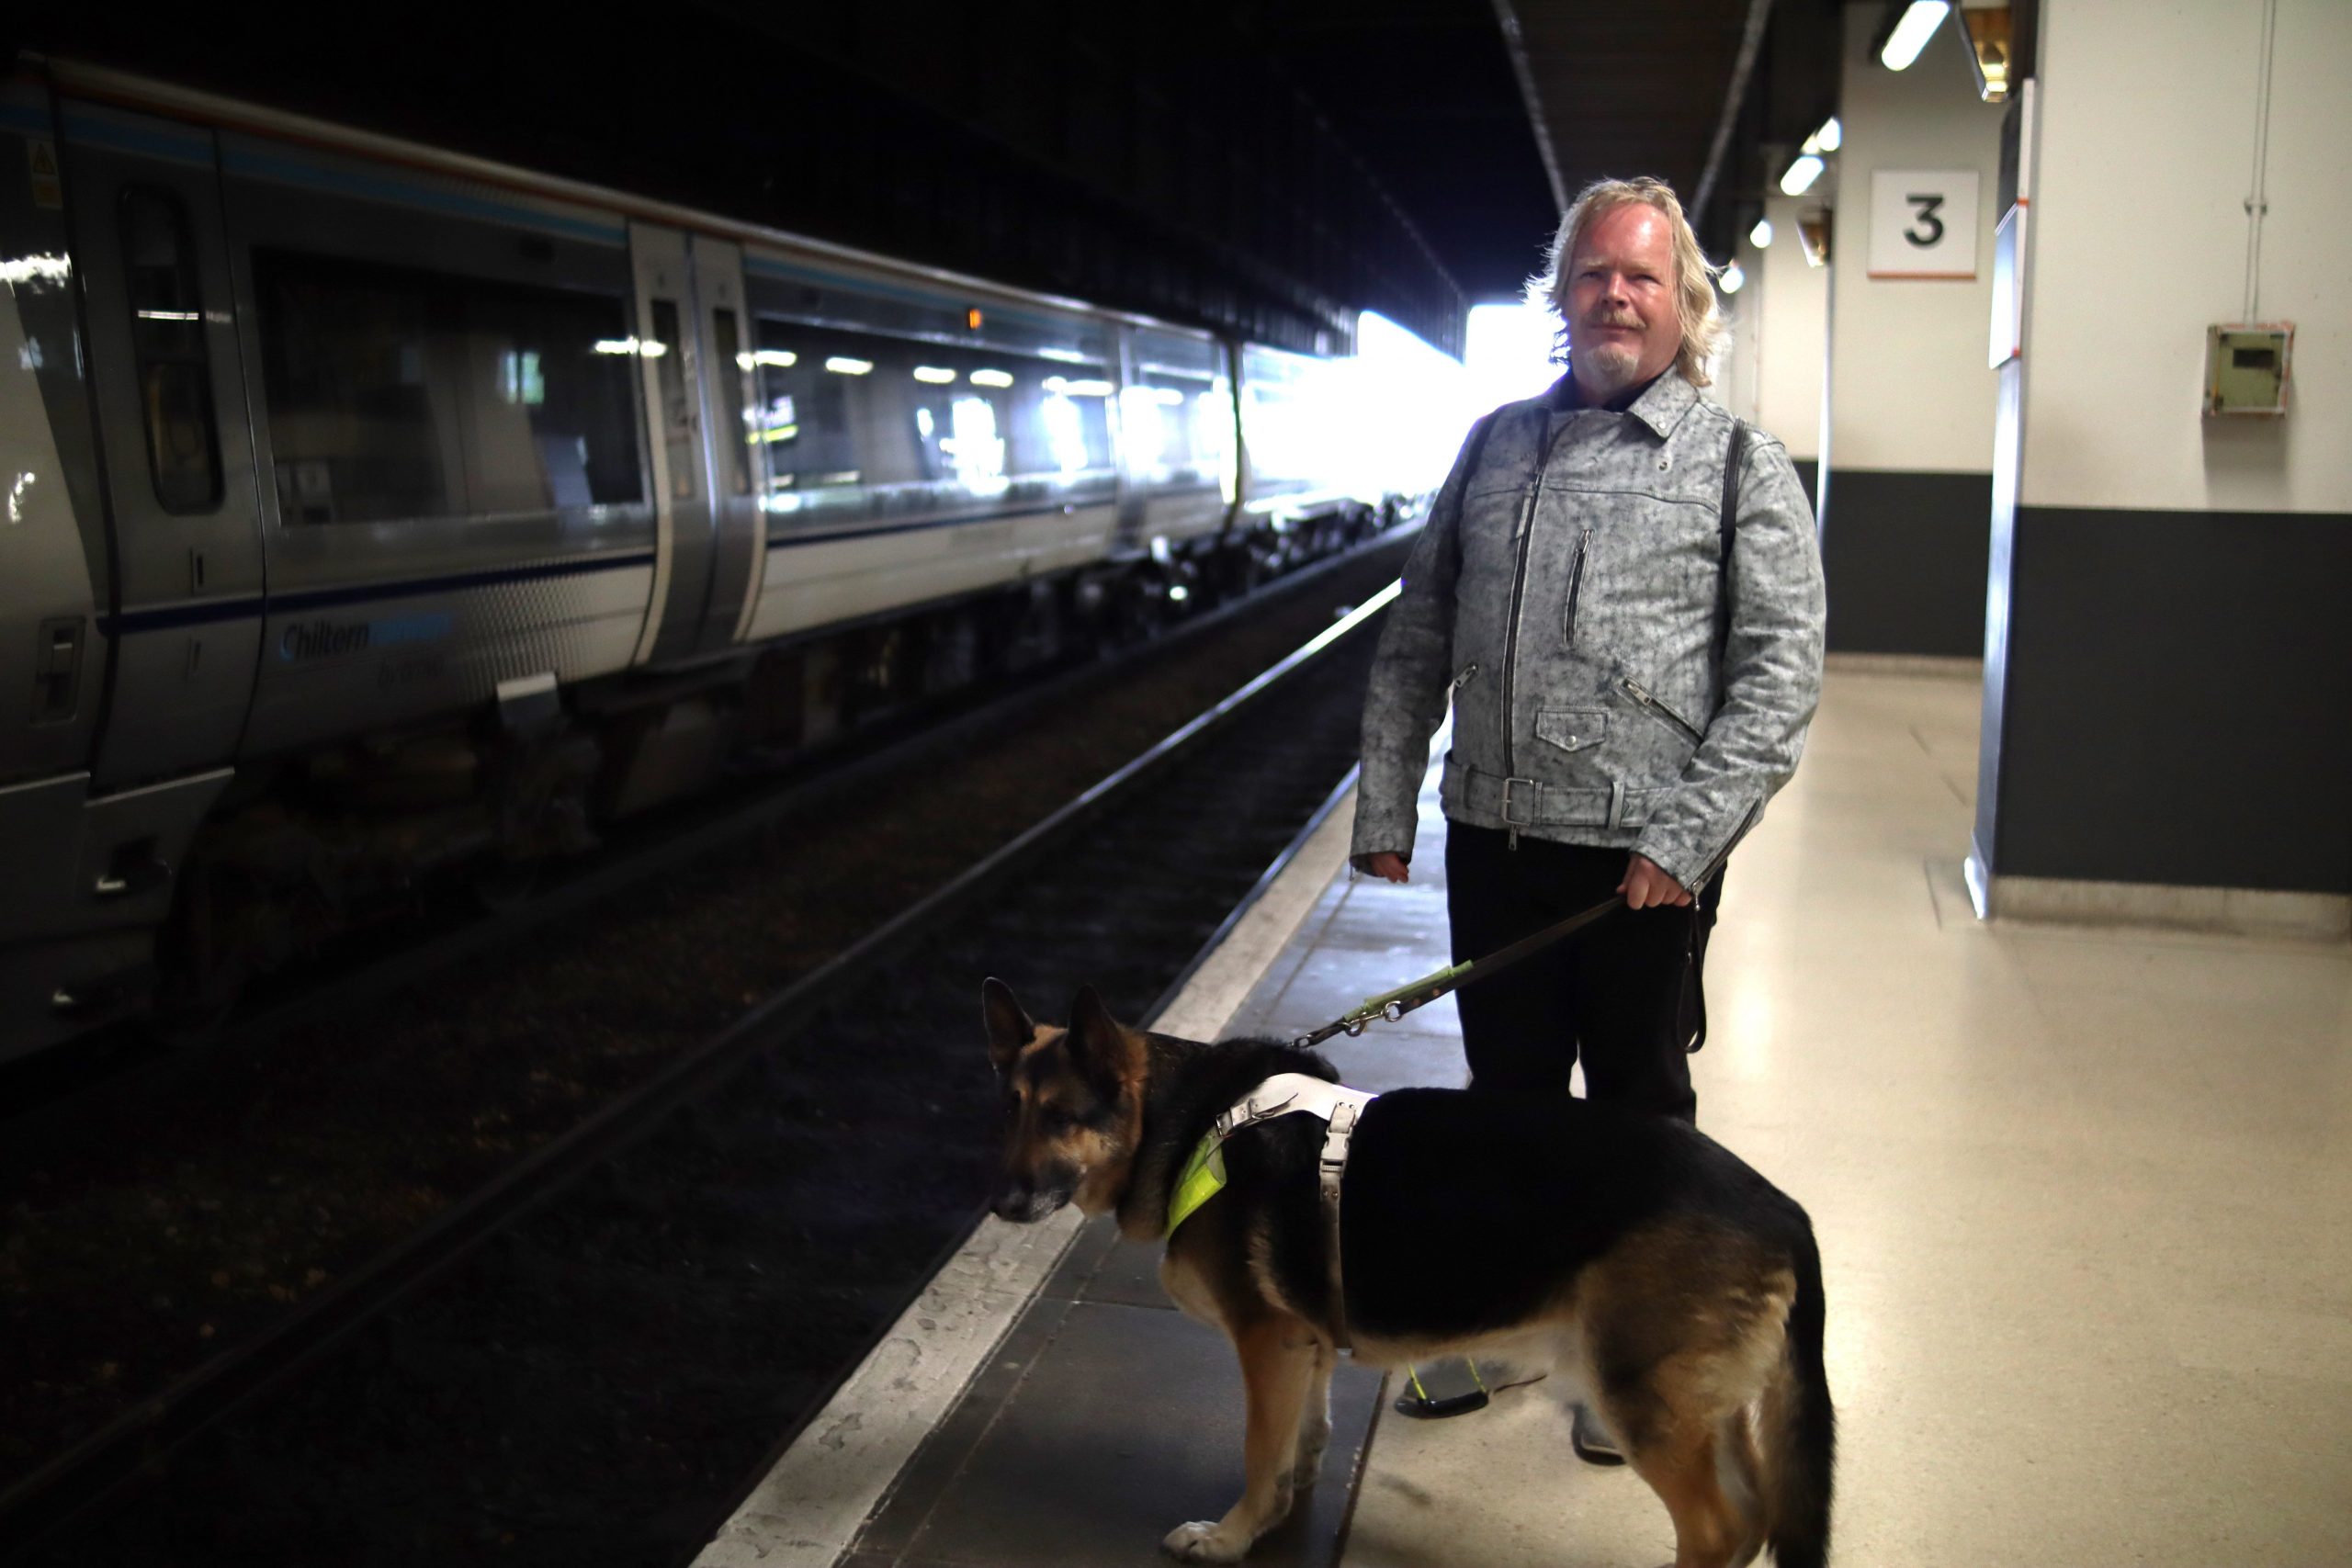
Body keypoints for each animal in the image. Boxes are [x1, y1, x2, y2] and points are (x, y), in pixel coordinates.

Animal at [983, 982, 1825, 1568]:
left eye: (1061, 1117)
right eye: (1010, 1109)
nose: (999, 1203)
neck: (1187, 1117)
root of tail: (1785, 1209)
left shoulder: (1265, 1341)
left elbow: (1259, 1448)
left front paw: (1231, 1536)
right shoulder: (1302, 1343)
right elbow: (1303, 1433)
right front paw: (1286, 1500)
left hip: (1643, 1401)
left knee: (1715, 1529)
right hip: (1711, 1410)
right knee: (1753, 1521)